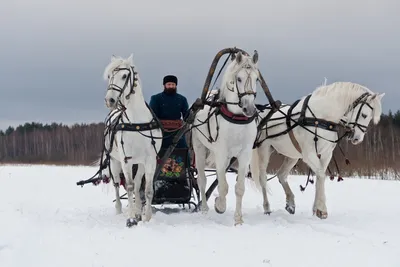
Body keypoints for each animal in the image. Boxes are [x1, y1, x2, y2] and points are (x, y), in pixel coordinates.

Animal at [193, 50, 260, 226]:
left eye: (257, 79)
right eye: (239, 78)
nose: (250, 109)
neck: (236, 118)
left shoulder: (244, 154)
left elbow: (239, 188)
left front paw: (238, 219)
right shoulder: (220, 152)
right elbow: (223, 186)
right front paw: (220, 205)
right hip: (200, 148)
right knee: (202, 180)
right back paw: (204, 209)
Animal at [250, 81, 384, 220]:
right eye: (364, 115)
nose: (357, 138)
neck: (321, 118)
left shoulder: (326, 154)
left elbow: (320, 177)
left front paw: (316, 209)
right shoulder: (309, 154)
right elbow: (321, 175)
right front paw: (322, 209)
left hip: (292, 155)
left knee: (281, 175)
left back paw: (290, 203)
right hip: (263, 149)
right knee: (263, 178)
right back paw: (267, 208)